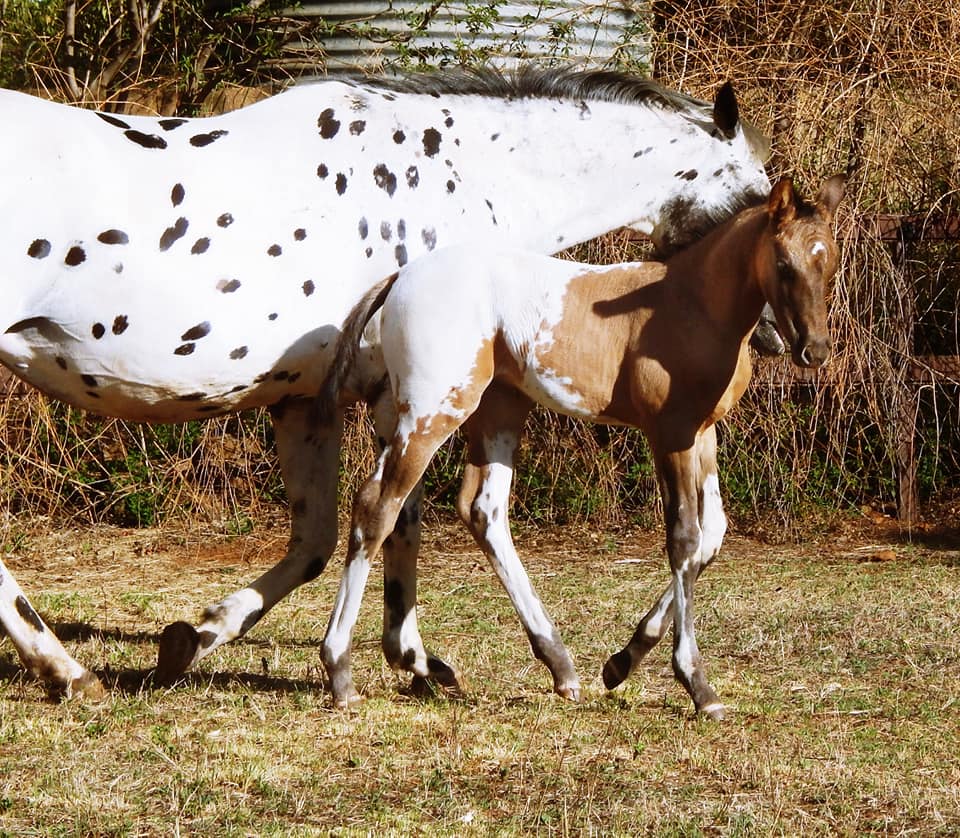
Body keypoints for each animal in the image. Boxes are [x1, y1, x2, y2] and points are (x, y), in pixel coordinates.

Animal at [0, 67, 772, 704]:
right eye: (759, 203)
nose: (767, 337)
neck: (459, 177)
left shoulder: (304, 403)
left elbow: (317, 541)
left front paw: (198, 636)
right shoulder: (401, 401)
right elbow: (401, 522)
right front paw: (417, 658)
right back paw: (67, 671)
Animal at [320, 174, 840, 720]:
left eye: (830, 261)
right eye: (783, 265)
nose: (813, 350)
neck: (691, 303)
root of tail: (400, 276)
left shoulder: (704, 434)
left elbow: (712, 534)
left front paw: (622, 661)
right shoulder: (671, 434)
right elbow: (684, 539)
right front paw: (697, 684)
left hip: (499, 411)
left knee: (481, 509)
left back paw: (556, 666)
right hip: (432, 414)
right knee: (378, 507)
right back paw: (341, 672)